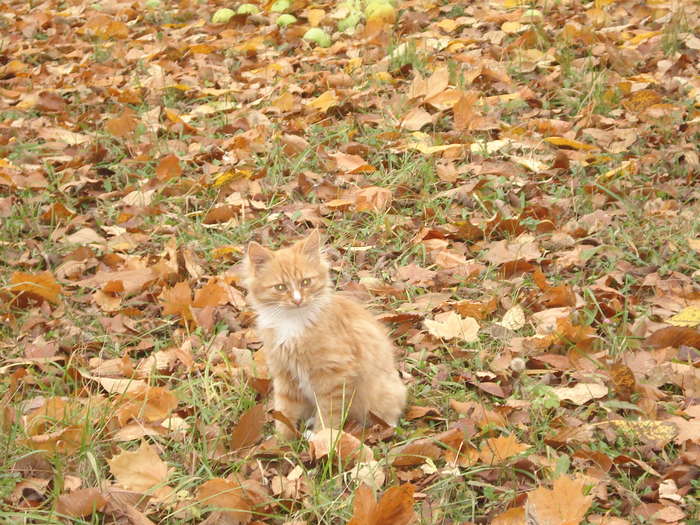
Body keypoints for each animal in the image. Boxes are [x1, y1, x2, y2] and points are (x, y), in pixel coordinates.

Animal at [242, 230, 408, 438]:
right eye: (280, 287)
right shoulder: (284, 374)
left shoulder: (334, 375)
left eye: (306, 282)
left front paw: (322, 438)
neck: (292, 322)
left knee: (388, 417)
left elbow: (328, 414)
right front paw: (281, 441)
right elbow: (285, 412)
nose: (297, 300)